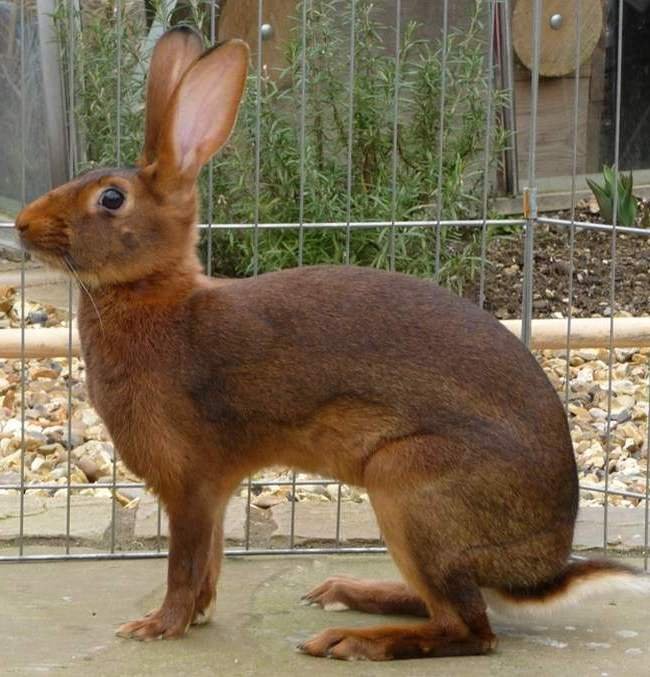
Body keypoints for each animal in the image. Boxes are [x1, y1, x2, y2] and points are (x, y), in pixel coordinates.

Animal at [15, 26, 648, 660]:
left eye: (111, 198)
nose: (21, 225)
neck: (152, 293)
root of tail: (539, 570)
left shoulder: (192, 484)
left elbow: (185, 564)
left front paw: (158, 626)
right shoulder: (215, 492)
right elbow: (211, 563)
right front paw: (195, 617)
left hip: (407, 486)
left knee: (469, 629)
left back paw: (351, 640)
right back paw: (346, 593)